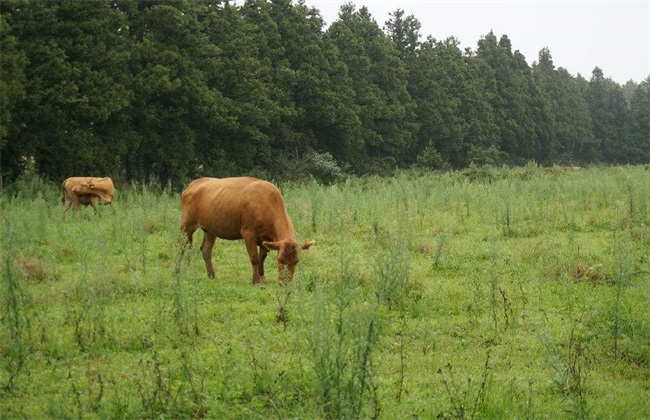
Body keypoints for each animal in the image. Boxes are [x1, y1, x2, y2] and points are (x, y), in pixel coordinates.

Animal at [180, 176, 314, 284]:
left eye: (297, 261)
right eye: (279, 259)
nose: (285, 283)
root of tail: (194, 183)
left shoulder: (265, 238)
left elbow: (262, 257)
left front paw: (261, 276)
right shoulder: (248, 233)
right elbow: (254, 258)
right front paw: (257, 281)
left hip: (210, 229)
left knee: (206, 250)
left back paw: (212, 275)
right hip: (186, 225)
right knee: (182, 247)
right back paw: (181, 270)